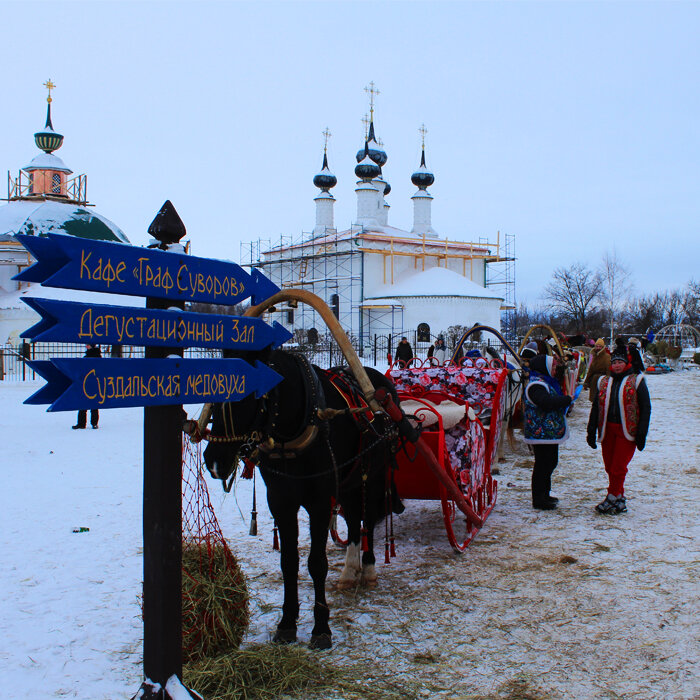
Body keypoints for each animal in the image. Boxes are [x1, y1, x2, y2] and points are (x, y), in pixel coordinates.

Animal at [202, 350, 408, 652]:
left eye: (252, 392)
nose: (215, 460)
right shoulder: (280, 501)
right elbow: (288, 562)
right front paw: (287, 623)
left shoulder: (319, 502)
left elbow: (316, 563)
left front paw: (321, 628)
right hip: (347, 481)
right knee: (354, 519)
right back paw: (350, 570)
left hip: (373, 475)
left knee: (367, 520)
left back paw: (368, 567)